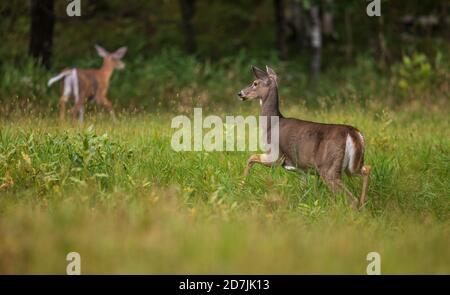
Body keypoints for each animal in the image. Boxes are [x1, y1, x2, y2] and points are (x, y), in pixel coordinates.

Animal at [237, 66, 370, 210]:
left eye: (255, 83)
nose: (240, 93)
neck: (271, 124)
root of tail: (353, 132)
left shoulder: (276, 156)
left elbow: (251, 157)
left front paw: (241, 186)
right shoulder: (302, 169)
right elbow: (304, 190)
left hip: (328, 166)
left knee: (350, 198)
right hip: (352, 166)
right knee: (366, 169)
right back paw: (363, 203)